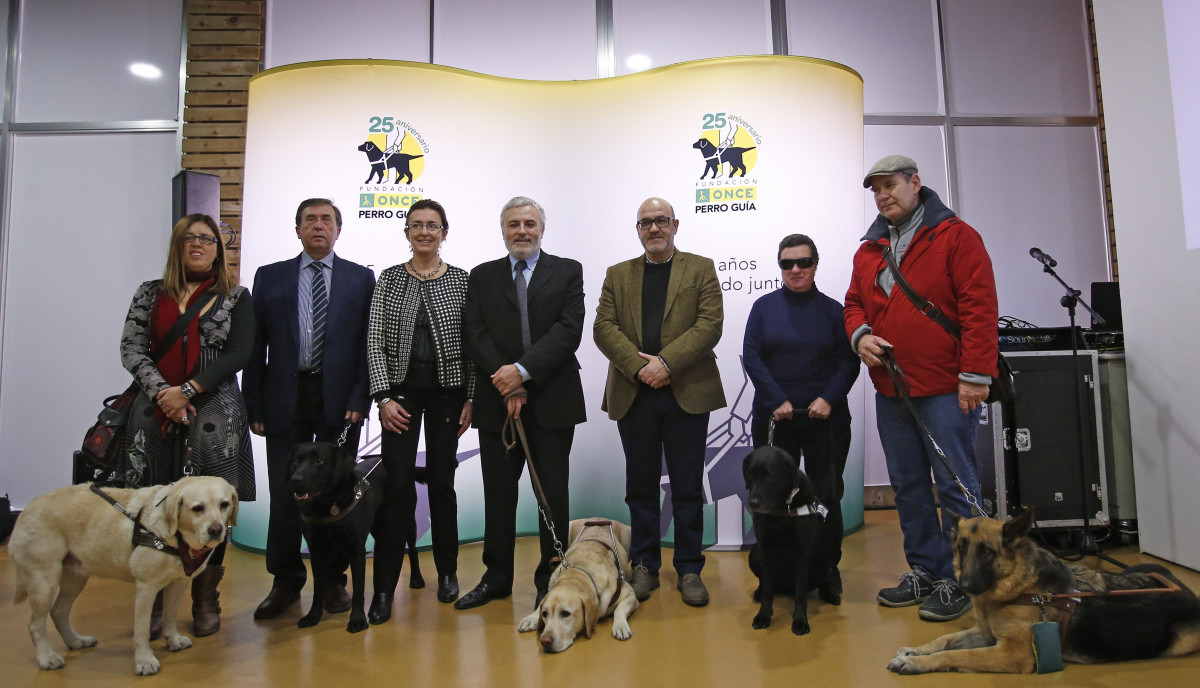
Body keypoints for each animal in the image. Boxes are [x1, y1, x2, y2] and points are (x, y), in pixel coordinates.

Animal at [9, 477, 237, 675]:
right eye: (197, 508)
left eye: (224, 504)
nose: (216, 529)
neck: (176, 536)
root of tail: (26, 509)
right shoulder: (147, 586)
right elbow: (142, 629)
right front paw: (145, 661)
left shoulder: (178, 583)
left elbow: (170, 616)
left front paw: (173, 640)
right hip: (44, 582)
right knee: (35, 625)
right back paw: (47, 657)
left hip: (75, 578)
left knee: (58, 612)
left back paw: (76, 641)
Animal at [289, 441, 386, 633]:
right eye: (296, 460)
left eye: (319, 460)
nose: (296, 480)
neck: (326, 505)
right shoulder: (316, 550)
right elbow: (318, 587)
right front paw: (313, 616)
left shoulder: (356, 549)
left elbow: (358, 588)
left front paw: (357, 619)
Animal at [518, 518, 639, 653]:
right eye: (544, 614)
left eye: (565, 613)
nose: (544, 641)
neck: (578, 575)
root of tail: (597, 518)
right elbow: (539, 605)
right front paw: (531, 618)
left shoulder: (630, 594)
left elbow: (619, 608)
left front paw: (620, 626)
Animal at [743, 445, 835, 636]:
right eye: (749, 475)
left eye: (769, 476)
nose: (753, 502)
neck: (780, 508)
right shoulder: (764, 548)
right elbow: (768, 589)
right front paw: (763, 616)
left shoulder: (802, 552)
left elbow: (800, 593)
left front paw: (800, 621)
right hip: (753, 554)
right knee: (765, 581)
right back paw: (759, 592)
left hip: (823, 557)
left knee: (825, 579)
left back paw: (831, 594)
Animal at [888, 508, 1200, 674]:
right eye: (962, 547)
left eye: (986, 551)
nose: (964, 588)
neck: (1020, 586)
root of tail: (1187, 591)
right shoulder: (987, 634)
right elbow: (945, 639)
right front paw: (915, 651)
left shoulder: (1014, 654)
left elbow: (959, 655)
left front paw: (916, 663)